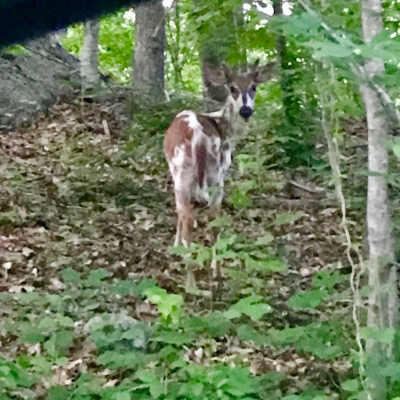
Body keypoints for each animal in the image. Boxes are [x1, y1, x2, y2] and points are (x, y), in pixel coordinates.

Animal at [164, 59, 274, 290]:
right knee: (214, 219)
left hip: (183, 173)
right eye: (232, 87)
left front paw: (175, 246)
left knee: (188, 217)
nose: (246, 111)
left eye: (254, 87)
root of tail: (198, 135)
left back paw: (191, 281)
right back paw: (217, 274)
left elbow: (178, 213)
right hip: (215, 177)